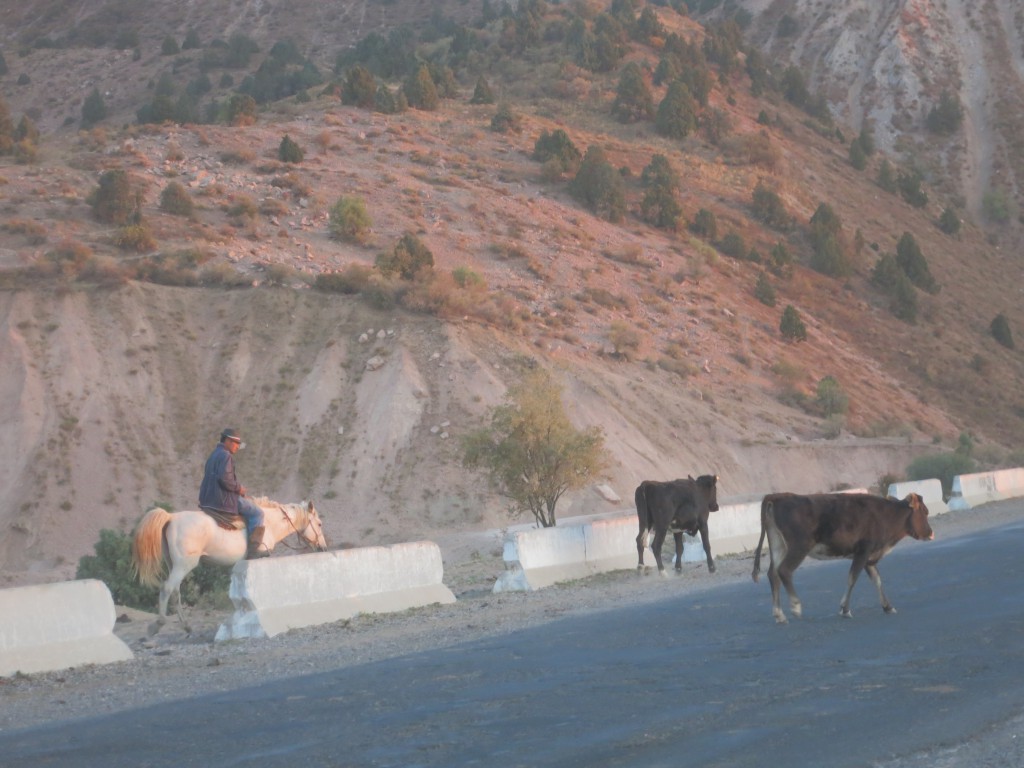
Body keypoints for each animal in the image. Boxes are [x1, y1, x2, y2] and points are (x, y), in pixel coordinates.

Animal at [130, 495, 325, 634]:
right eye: (319, 523)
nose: (322, 547)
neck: (269, 523)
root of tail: (170, 517)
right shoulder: (258, 558)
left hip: (173, 565)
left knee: (175, 591)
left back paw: (186, 626)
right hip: (183, 565)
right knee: (167, 588)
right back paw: (157, 625)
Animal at [749, 493, 933, 626]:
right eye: (925, 511)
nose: (931, 533)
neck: (885, 514)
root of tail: (778, 496)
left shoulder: (868, 556)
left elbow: (877, 580)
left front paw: (888, 606)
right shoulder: (863, 551)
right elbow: (852, 578)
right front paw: (845, 609)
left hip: (778, 545)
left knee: (773, 574)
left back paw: (779, 614)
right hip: (799, 546)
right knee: (784, 570)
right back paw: (795, 606)